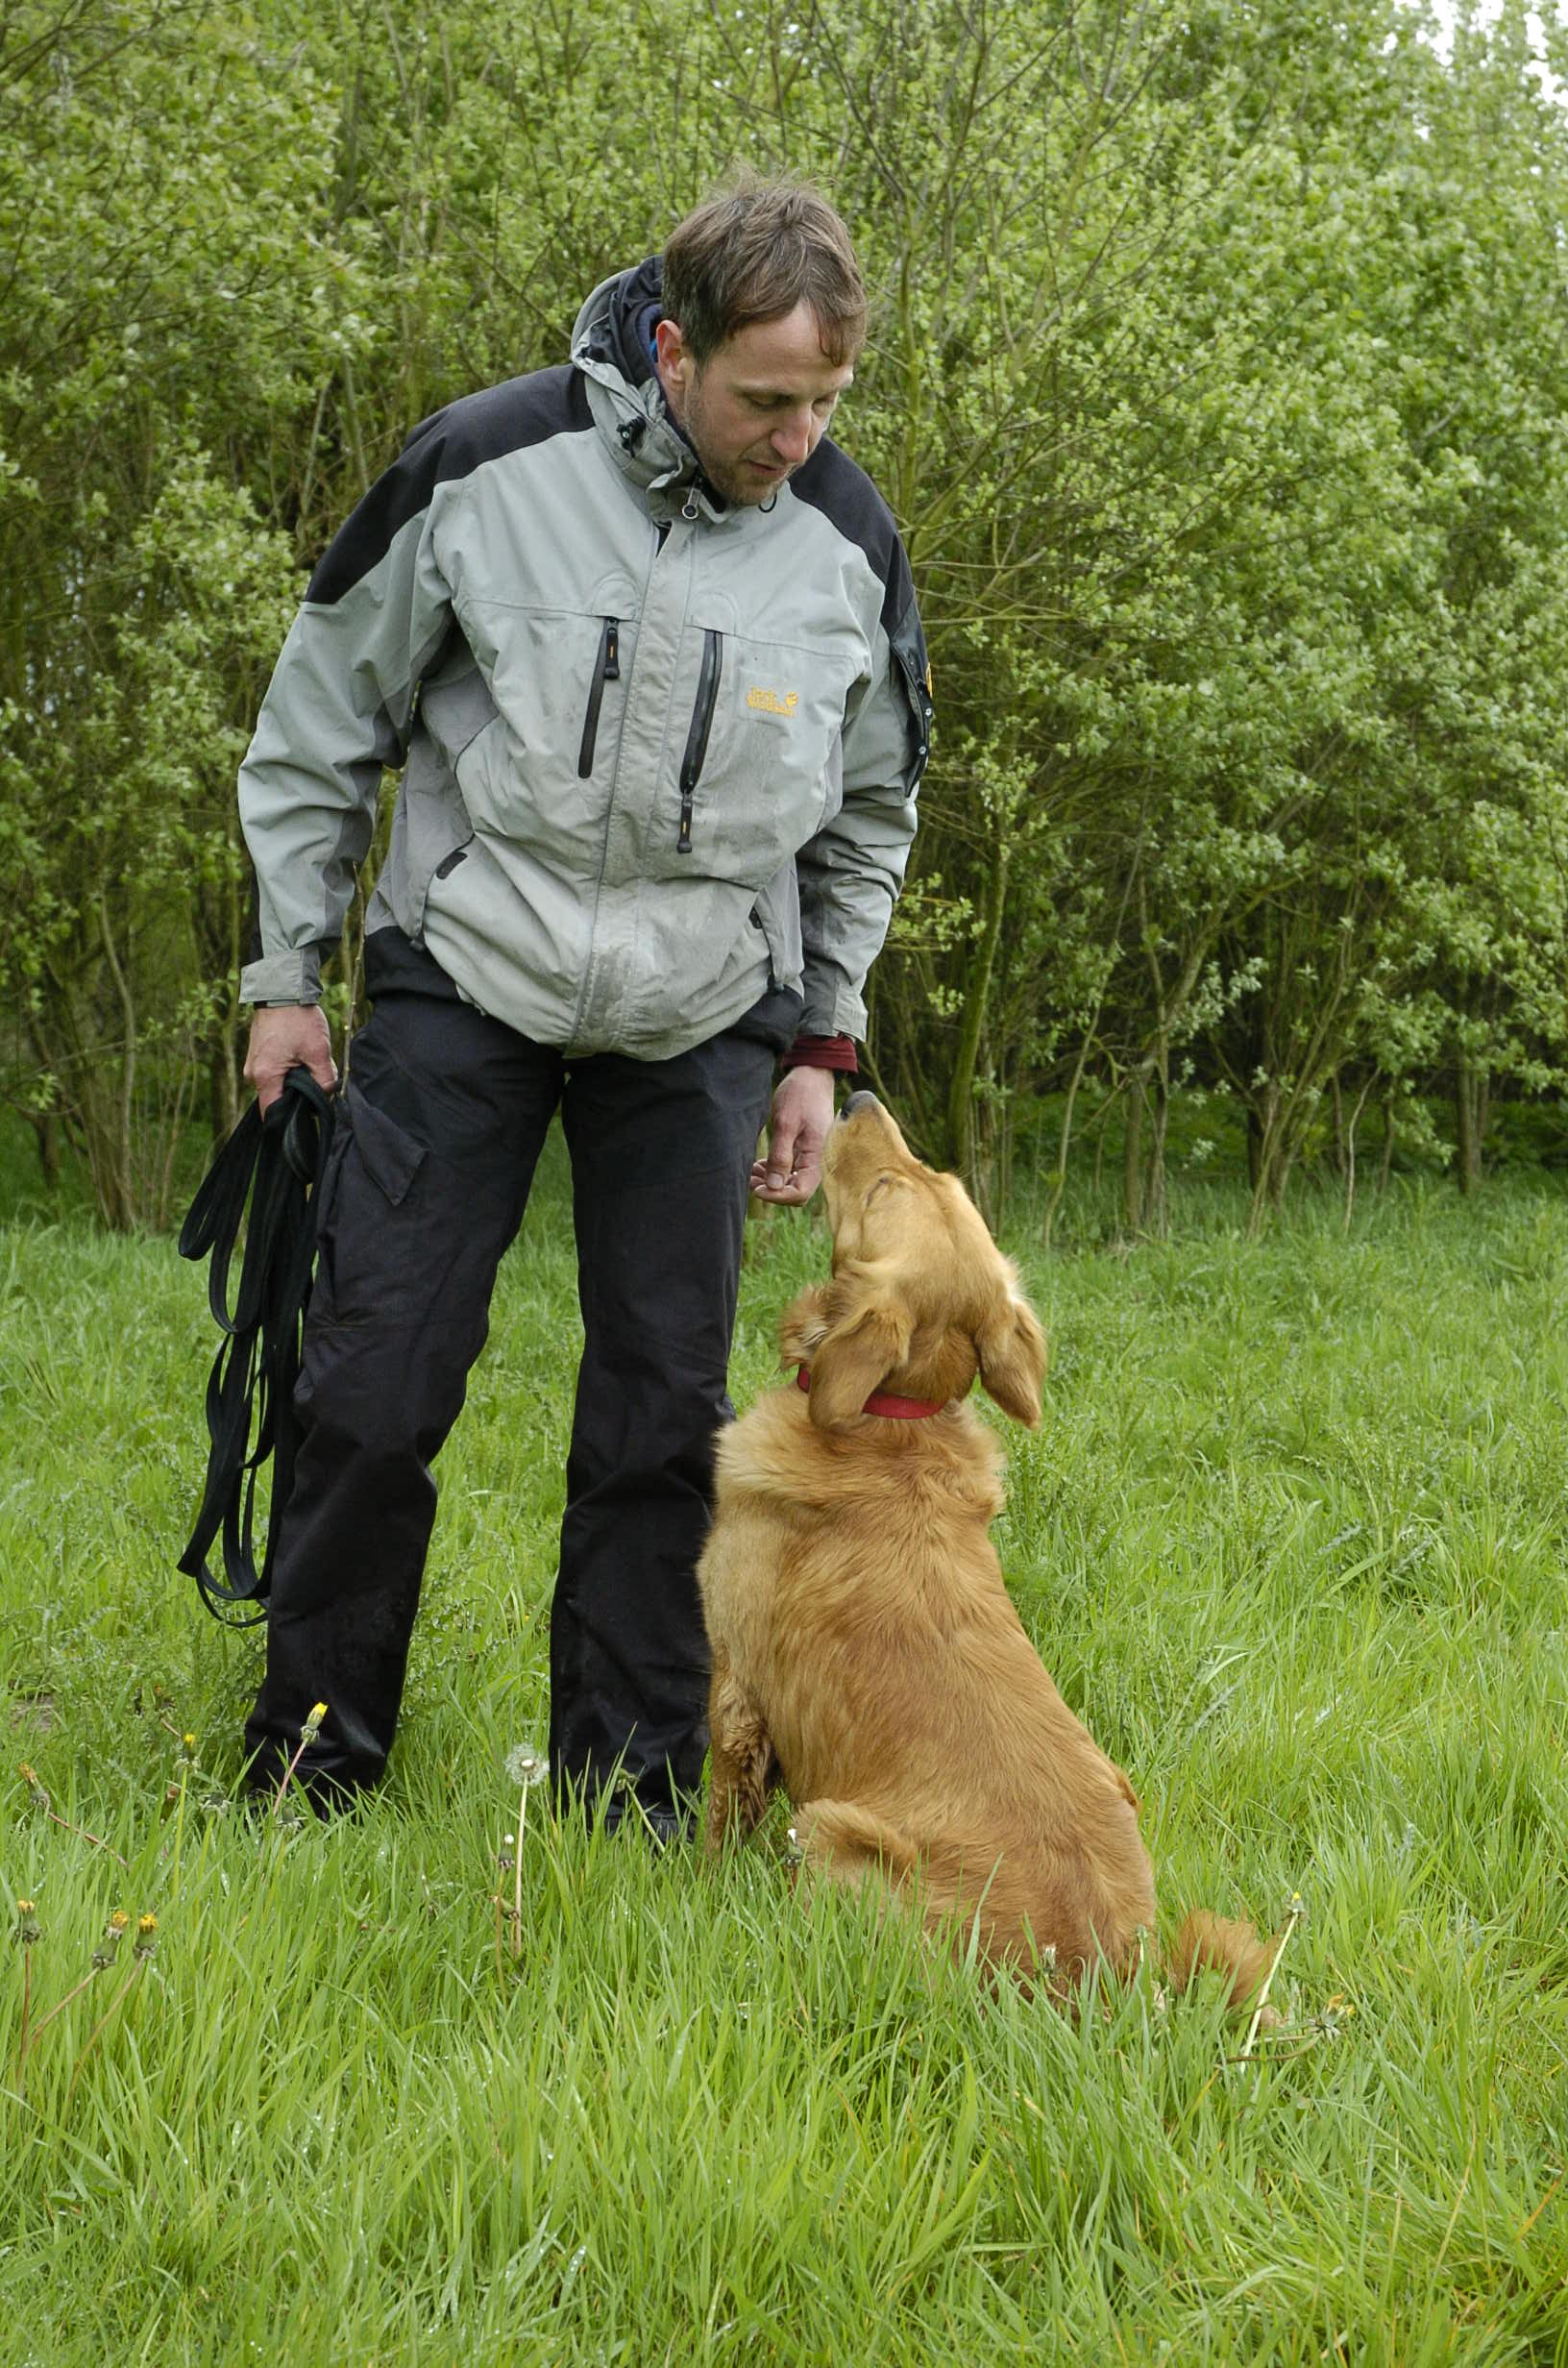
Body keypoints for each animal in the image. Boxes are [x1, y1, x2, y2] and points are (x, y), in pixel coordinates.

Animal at [698, 1091, 1275, 2008]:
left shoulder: (738, 1687)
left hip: (827, 1833)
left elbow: (719, 1822)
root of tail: (1112, 1975)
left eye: (884, 1187)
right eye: (935, 1174)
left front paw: (688, 1888)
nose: (855, 1097)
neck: (891, 1417)